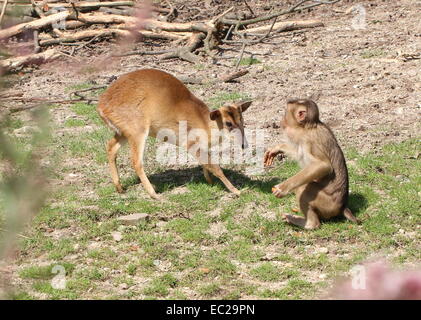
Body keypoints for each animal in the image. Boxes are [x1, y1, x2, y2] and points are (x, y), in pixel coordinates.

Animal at [97, 69, 251, 199]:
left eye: (242, 119)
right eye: (228, 123)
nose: (244, 145)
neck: (205, 125)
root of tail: (101, 107)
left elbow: (205, 164)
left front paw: (210, 182)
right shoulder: (189, 141)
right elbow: (215, 167)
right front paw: (237, 191)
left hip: (123, 131)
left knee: (110, 147)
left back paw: (120, 188)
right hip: (137, 128)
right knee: (135, 161)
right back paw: (154, 194)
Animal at [264, 99, 356, 229]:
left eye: (285, 112)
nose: (281, 120)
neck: (307, 127)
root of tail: (342, 207)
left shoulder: (309, 140)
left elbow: (323, 165)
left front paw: (283, 188)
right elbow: (298, 153)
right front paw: (278, 148)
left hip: (328, 204)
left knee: (303, 187)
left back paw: (310, 224)